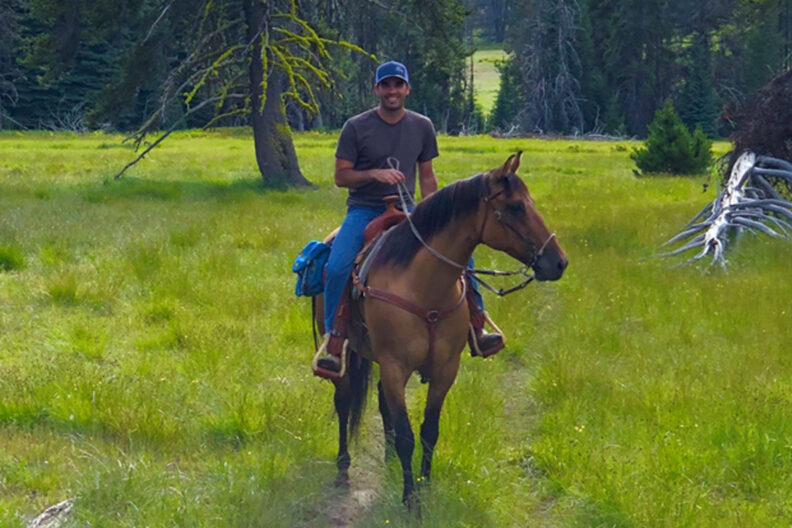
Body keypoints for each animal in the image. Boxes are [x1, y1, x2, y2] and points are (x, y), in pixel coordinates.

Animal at [313, 152, 568, 507]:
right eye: (516, 206)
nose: (559, 262)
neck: (423, 286)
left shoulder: (446, 368)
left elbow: (428, 431)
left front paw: (423, 485)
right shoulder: (395, 366)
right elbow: (407, 436)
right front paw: (410, 500)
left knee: (379, 400)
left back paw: (389, 461)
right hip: (347, 356)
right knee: (344, 400)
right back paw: (343, 468)